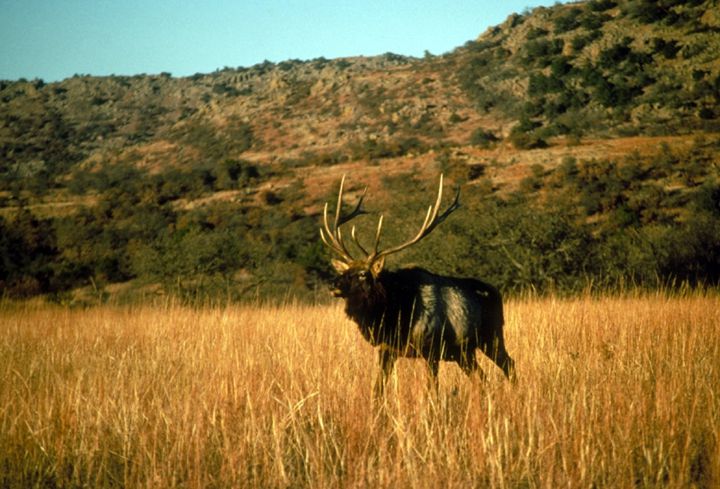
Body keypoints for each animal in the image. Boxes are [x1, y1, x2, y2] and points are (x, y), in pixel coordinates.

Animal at [320, 174, 515, 398]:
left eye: (362, 274)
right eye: (344, 271)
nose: (333, 285)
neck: (394, 316)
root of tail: (496, 292)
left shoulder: (431, 349)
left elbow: (432, 391)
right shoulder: (387, 350)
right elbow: (378, 390)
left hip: (492, 337)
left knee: (509, 364)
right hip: (464, 352)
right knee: (483, 378)